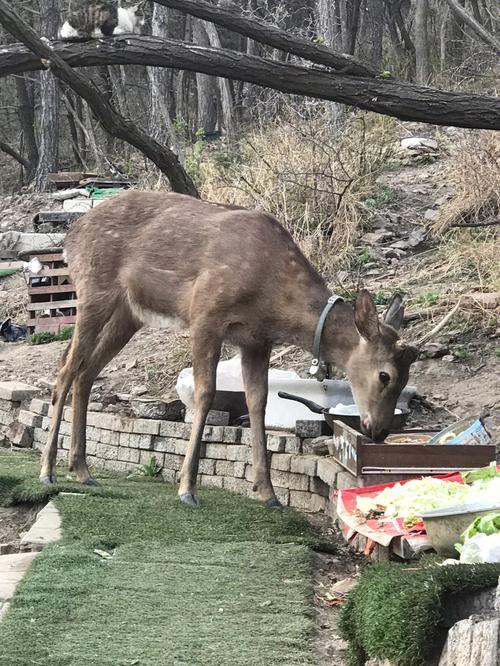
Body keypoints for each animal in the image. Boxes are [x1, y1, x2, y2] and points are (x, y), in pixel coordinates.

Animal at [40, 189, 418, 506]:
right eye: (385, 375)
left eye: (406, 376)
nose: (380, 431)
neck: (273, 298)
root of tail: (70, 237)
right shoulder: (206, 314)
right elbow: (206, 393)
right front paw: (187, 488)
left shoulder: (256, 340)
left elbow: (258, 403)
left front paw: (267, 492)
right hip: (94, 289)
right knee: (66, 367)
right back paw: (48, 470)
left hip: (128, 313)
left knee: (86, 372)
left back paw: (82, 470)